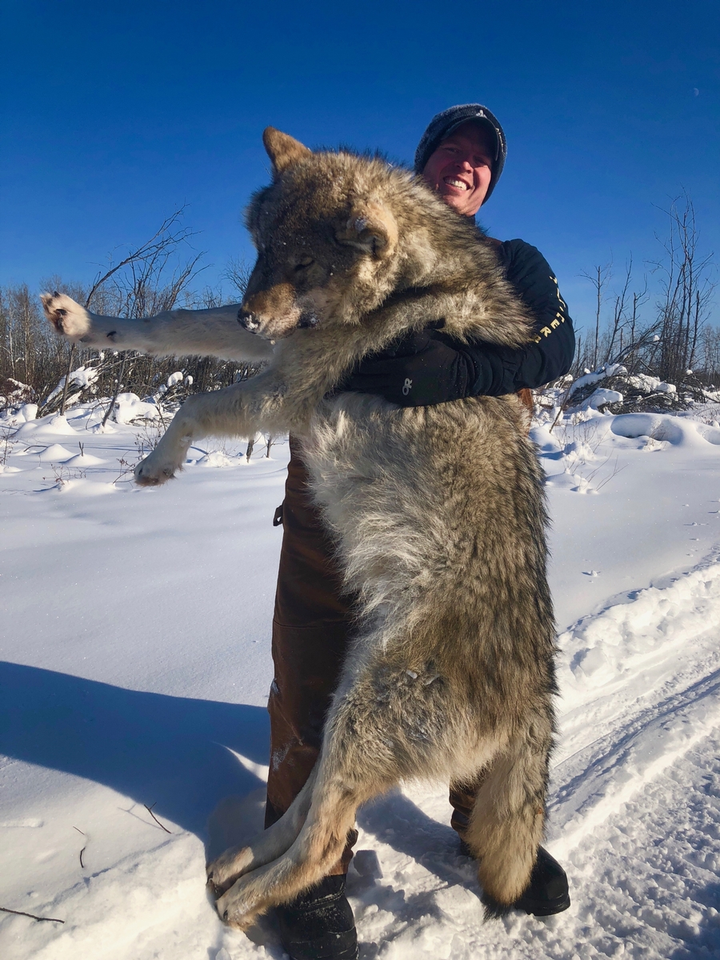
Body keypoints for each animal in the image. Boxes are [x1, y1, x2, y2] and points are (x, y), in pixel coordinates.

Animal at [43, 127, 556, 928]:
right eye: (260, 252)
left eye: (304, 264)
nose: (251, 318)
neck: (414, 286)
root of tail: (538, 692)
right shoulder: (276, 344)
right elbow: (170, 325)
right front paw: (80, 322)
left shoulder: (287, 387)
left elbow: (192, 406)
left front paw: (157, 463)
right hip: (345, 701)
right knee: (312, 809)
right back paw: (236, 864)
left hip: (368, 710)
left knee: (325, 840)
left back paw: (245, 899)